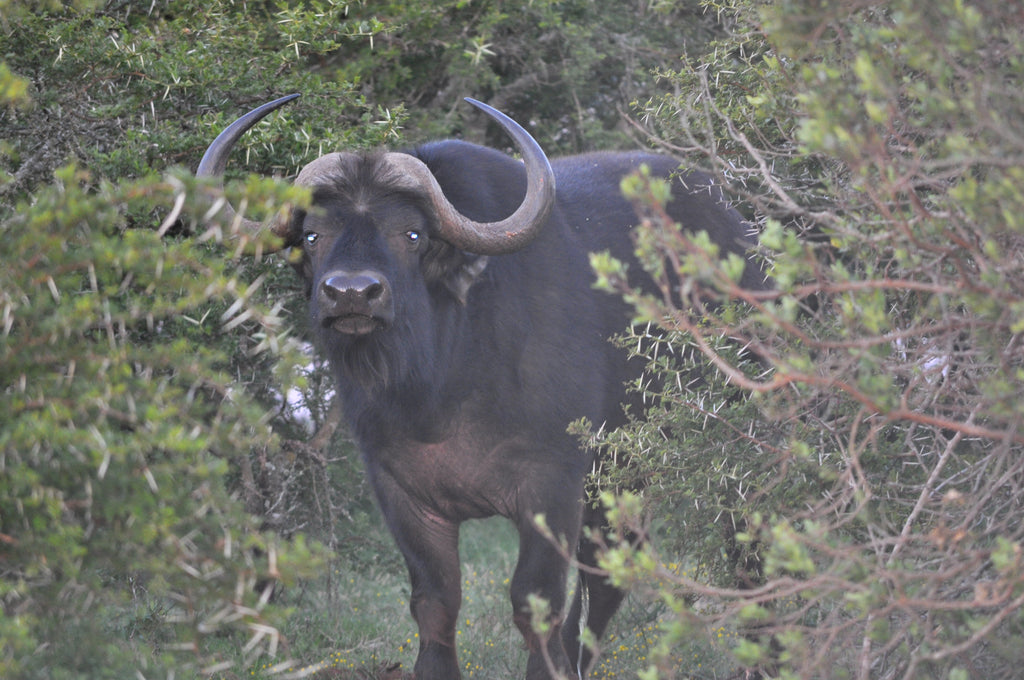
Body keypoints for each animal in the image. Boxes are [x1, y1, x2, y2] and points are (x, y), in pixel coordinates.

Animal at [197, 94, 766, 680]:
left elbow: (534, 598)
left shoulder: (552, 482)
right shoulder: (400, 491)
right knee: (611, 571)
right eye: (313, 235)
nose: (352, 293)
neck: (442, 389)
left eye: (412, 234)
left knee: (742, 546)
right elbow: (435, 599)